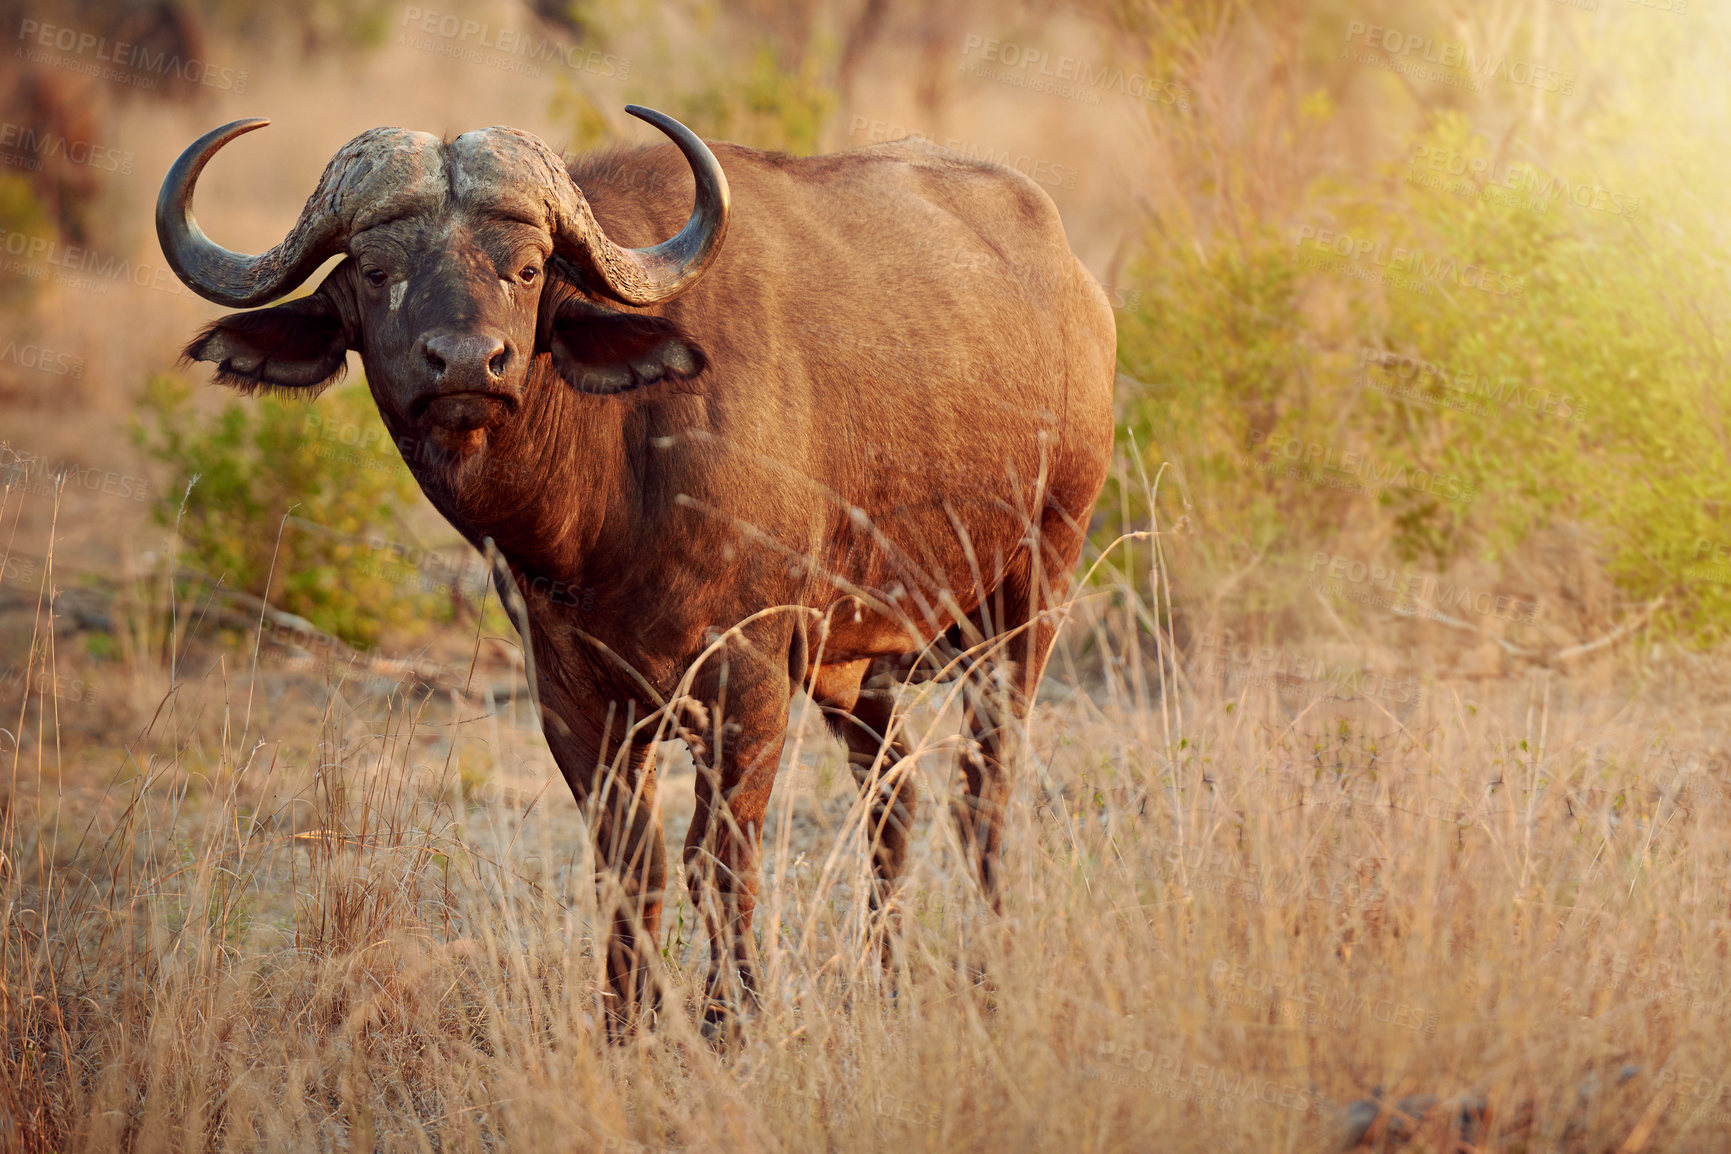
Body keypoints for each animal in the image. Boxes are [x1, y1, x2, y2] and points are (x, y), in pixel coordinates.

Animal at [159, 108, 1107, 1038]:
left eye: (526, 268)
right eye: (375, 268)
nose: (466, 363)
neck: (603, 501)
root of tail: (1075, 282)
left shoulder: (746, 680)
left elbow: (718, 860)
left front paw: (732, 1019)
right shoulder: (574, 697)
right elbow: (629, 867)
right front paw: (626, 1023)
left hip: (1031, 593)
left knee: (983, 791)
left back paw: (988, 969)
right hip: (855, 666)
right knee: (895, 795)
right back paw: (890, 976)